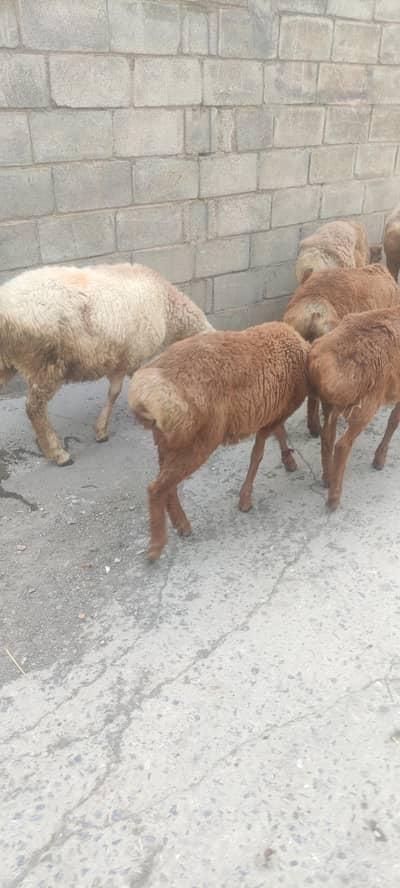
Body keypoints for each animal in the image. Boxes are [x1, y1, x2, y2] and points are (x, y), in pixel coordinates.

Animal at [0, 262, 214, 466]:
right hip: (45, 364)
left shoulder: (124, 359)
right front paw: (105, 429)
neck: (167, 306)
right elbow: (118, 391)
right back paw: (58, 453)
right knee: (34, 408)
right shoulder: (130, 357)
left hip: (9, 363)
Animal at [128, 322, 309, 561]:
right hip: (197, 443)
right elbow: (258, 453)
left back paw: (180, 524)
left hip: (168, 442)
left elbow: (277, 434)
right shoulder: (276, 412)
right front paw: (245, 500)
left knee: (168, 485)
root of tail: (145, 394)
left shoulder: (273, 410)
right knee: (156, 488)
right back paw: (157, 546)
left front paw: (288, 461)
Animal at [307, 305, 400, 511]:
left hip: (331, 403)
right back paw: (334, 499)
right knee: (342, 445)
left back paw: (327, 479)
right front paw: (379, 459)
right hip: (365, 404)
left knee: (327, 436)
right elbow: (393, 422)